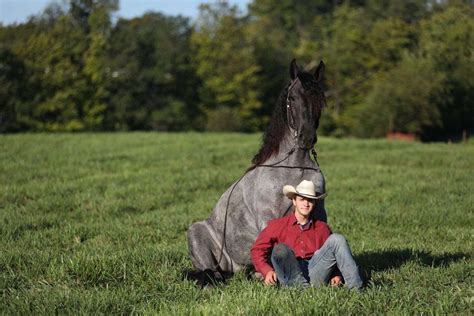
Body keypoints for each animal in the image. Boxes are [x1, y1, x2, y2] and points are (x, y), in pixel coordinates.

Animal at [187, 59, 328, 284]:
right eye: (293, 98)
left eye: (320, 99)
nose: (306, 138)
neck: (294, 168)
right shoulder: (268, 219)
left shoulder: (319, 214)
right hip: (197, 234)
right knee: (210, 273)